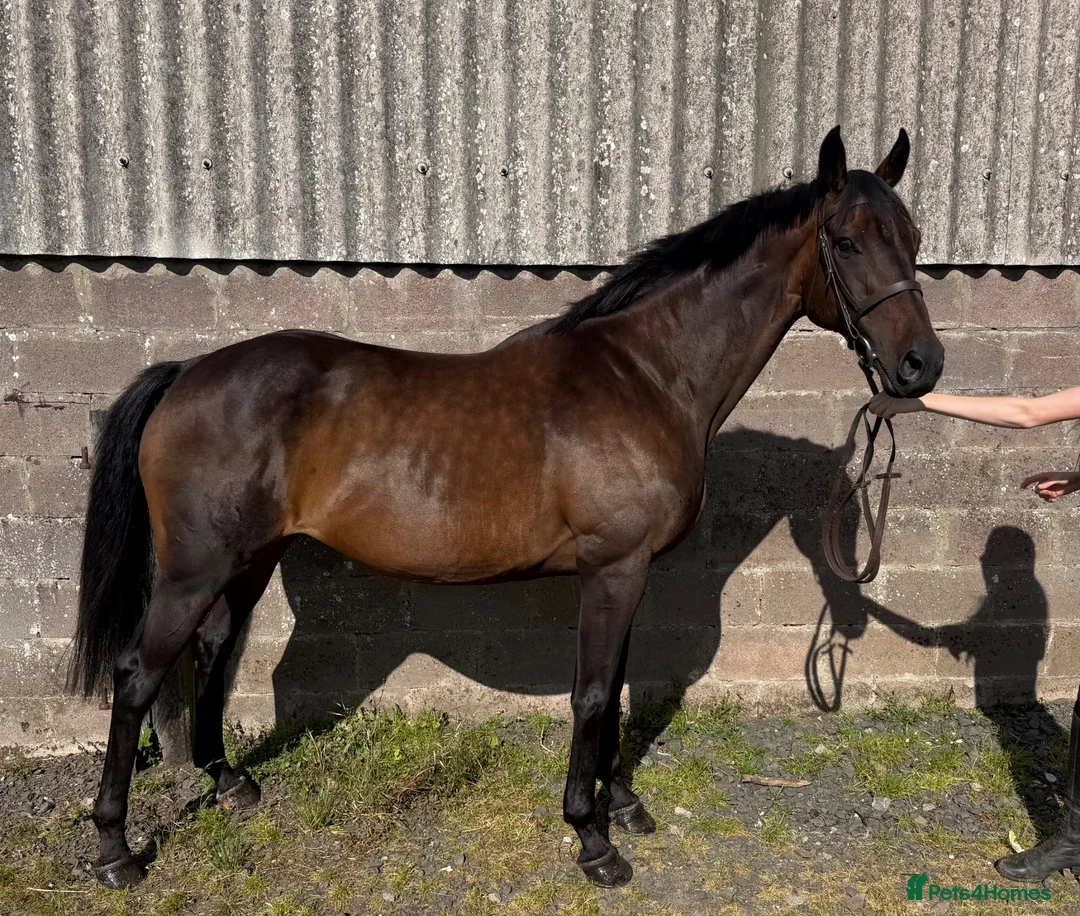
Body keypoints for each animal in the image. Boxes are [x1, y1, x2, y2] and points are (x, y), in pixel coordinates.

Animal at [70, 126, 943, 889]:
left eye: (913, 235)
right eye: (848, 241)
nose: (921, 366)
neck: (646, 376)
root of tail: (184, 375)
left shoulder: (626, 573)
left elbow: (615, 687)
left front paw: (624, 806)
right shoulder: (613, 569)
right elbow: (592, 693)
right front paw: (592, 838)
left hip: (249, 560)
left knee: (213, 650)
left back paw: (228, 784)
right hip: (193, 571)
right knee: (138, 675)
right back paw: (115, 851)